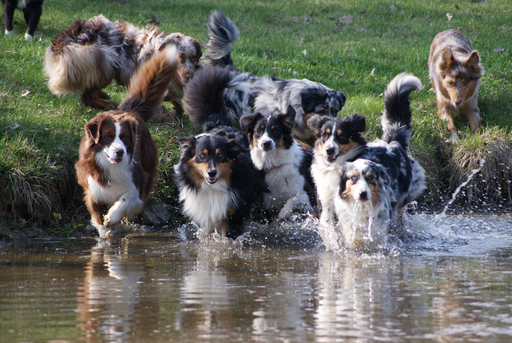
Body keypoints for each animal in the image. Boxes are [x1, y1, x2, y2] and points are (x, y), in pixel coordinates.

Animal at [43, 14, 201, 113]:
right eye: (180, 58)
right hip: (104, 61)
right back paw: (108, 105)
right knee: (86, 96)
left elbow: (177, 103)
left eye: (193, 58)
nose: (190, 76)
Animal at [75, 45, 179, 239]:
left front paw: (112, 217)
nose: (120, 152)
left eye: (124, 137)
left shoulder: (138, 183)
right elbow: (98, 218)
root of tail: (131, 111)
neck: (111, 167)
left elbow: (127, 199)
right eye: (108, 136)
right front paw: (105, 233)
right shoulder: (92, 189)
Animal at [175, 67, 260, 239]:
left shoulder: (234, 215)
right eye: (202, 156)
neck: (212, 189)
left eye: (220, 156)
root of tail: (219, 123)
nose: (212, 173)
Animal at [308, 73, 424, 250]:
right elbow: (330, 229)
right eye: (324, 135)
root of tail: (392, 142)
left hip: (400, 199)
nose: (329, 150)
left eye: (342, 136)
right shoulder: (327, 202)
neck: (336, 169)